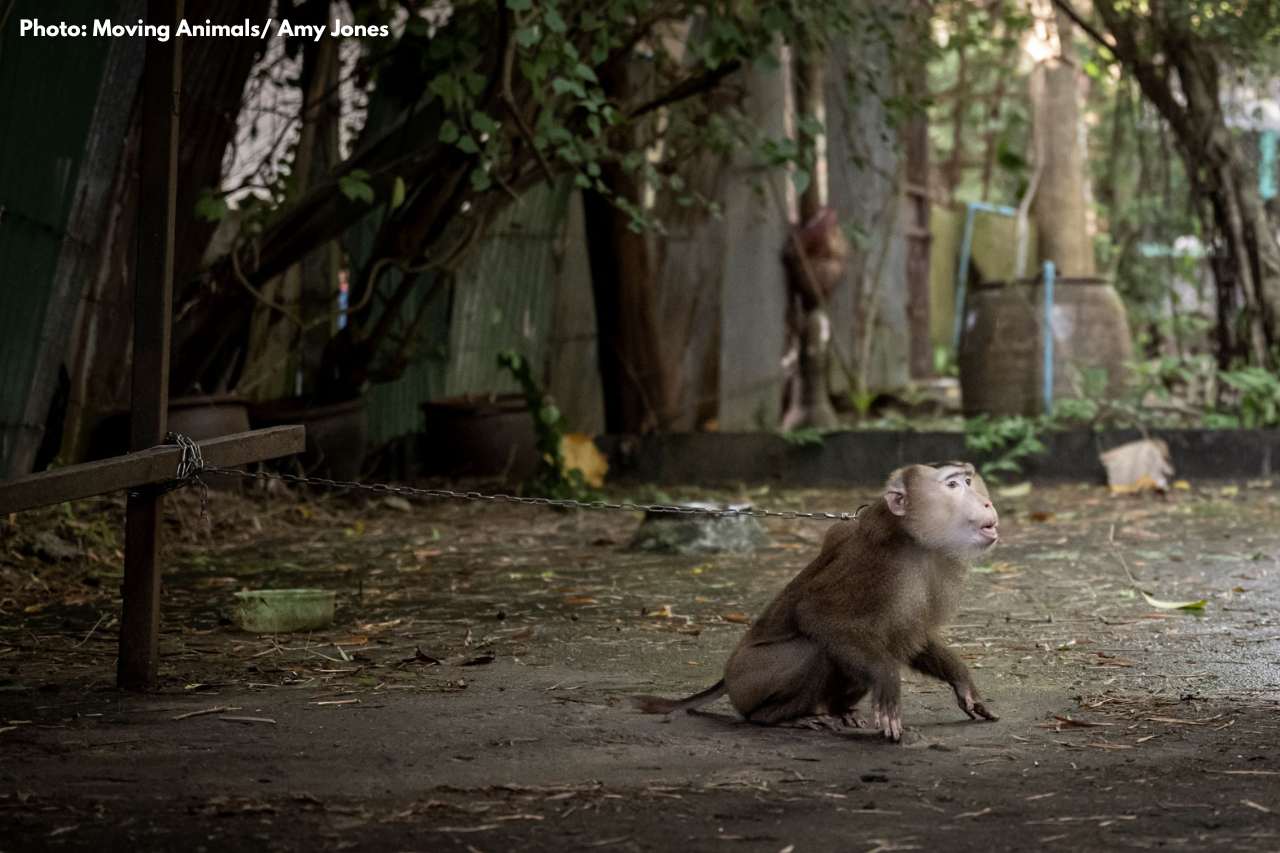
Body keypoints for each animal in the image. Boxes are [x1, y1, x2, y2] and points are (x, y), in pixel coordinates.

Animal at [629, 458, 998, 737]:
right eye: (953, 485)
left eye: (969, 480)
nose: (986, 502)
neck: (909, 536)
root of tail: (728, 677)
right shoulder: (878, 568)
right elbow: (818, 616)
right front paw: (888, 682)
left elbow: (909, 633)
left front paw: (962, 682)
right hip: (749, 681)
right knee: (814, 649)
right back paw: (777, 717)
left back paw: (840, 709)